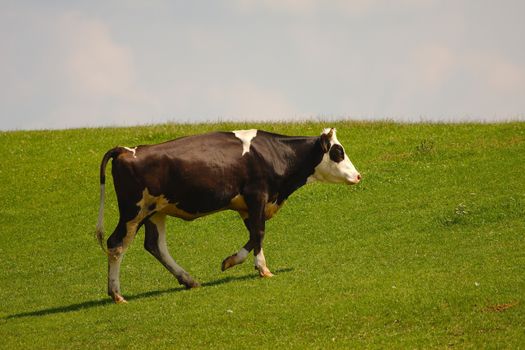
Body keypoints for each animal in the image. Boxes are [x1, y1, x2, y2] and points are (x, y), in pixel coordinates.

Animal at [95, 127, 360, 302]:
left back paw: (188, 280)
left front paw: (238, 262)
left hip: (155, 211)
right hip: (133, 211)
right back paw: (116, 294)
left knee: (155, 245)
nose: (358, 176)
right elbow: (259, 232)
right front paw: (259, 268)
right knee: (116, 244)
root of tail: (126, 150)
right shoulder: (257, 196)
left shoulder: (247, 206)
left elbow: (254, 234)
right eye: (338, 152)